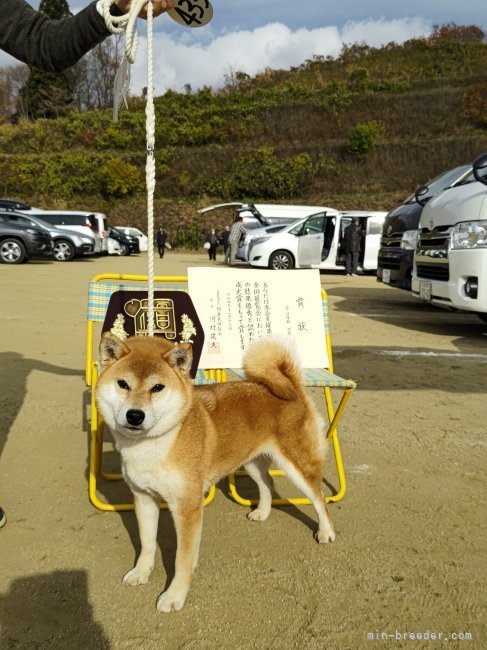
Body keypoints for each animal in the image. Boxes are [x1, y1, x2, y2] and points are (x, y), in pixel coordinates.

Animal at [95, 332, 336, 612]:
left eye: (157, 387)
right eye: (123, 384)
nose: (135, 415)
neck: (154, 446)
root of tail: (292, 387)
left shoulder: (187, 506)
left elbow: (182, 559)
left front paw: (174, 596)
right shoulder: (144, 498)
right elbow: (146, 543)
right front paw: (141, 573)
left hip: (297, 465)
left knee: (319, 497)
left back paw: (326, 532)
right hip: (251, 462)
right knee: (267, 484)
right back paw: (262, 512)